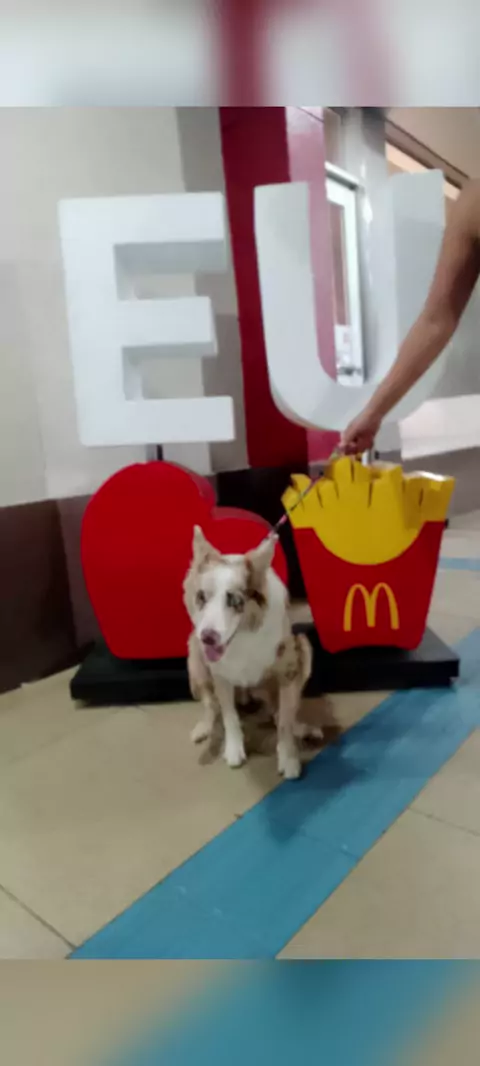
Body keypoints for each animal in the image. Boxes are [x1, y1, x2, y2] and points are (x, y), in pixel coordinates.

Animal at [183, 526, 321, 779]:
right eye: (201, 597)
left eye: (234, 600)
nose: (208, 637)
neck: (242, 637)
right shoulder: (220, 675)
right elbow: (228, 714)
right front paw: (233, 749)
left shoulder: (289, 670)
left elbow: (285, 720)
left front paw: (288, 758)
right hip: (194, 656)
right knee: (210, 704)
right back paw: (204, 729)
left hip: (304, 648)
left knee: (279, 712)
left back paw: (302, 728)